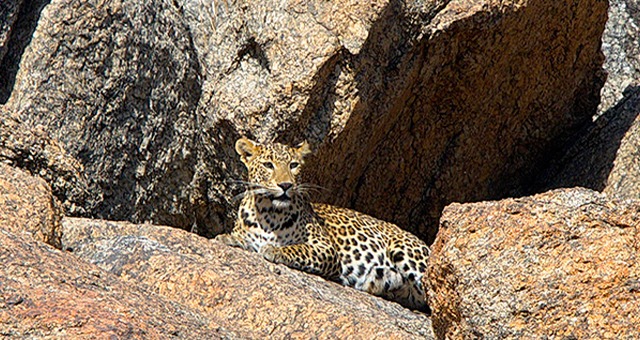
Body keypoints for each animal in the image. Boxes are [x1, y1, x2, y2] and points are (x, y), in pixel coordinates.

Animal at [215, 137, 430, 310]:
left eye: (293, 165)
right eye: (268, 165)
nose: (286, 185)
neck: (270, 214)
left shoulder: (326, 248)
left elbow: (299, 249)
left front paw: (275, 250)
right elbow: (243, 238)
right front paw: (229, 239)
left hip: (404, 250)